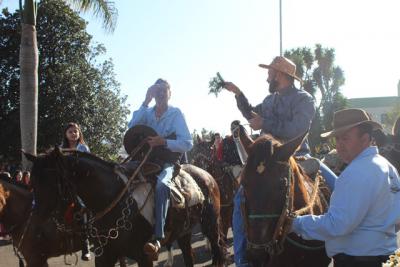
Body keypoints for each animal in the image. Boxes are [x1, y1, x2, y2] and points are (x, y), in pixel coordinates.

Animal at [24, 149, 225, 267]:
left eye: (51, 182)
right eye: (32, 182)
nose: (35, 227)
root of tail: (206, 174)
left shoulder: (144, 257)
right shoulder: (105, 256)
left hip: (211, 226)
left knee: (217, 249)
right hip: (183, 232)